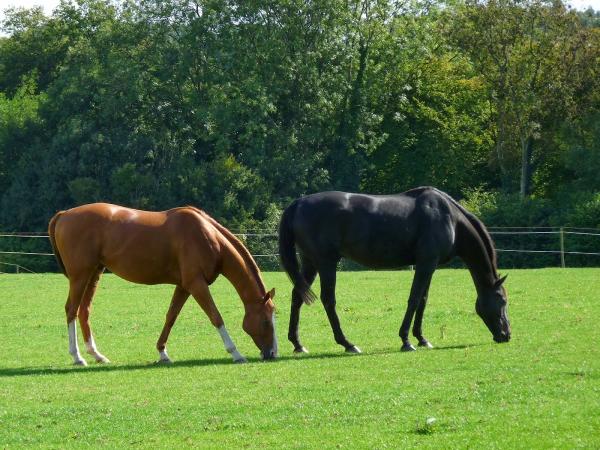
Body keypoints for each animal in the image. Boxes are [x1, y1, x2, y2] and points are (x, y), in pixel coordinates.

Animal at [48, 204, 278, 366]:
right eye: (266, 321)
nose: (273, 354)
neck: (208, 237)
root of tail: (64, 214)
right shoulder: (196, 284)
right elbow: (216, 317)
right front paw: (236, 353)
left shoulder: (184, 286)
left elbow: (171, 317)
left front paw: (162, 352)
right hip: (80, 275)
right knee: (71, 310)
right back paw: (77, 357)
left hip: (94, 273)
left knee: (84, 311)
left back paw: (96, 355)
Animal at [280, 187, 510, 356]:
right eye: (502, 301)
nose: (506, 335)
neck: (450, 218)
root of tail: (298, 203)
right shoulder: (426, 263)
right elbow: (414, 299)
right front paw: (406, 340)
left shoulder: (430, 265)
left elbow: (423, 299)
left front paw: (422, 338)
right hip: (326, 263)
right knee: (328, 300)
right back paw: (347, 344)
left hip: (310, 263)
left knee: (297, 297)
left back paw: (298, 344)